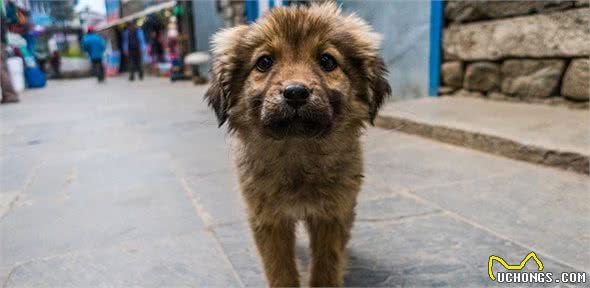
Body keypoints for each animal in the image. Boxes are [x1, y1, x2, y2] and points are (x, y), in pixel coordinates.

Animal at [206, 2, 390, 288]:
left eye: (327, 61)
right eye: (264, 62)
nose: (295, 93)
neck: (297, 150)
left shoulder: (332, 213)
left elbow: (327, 265)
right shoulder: (268, 217)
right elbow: (280, 269)